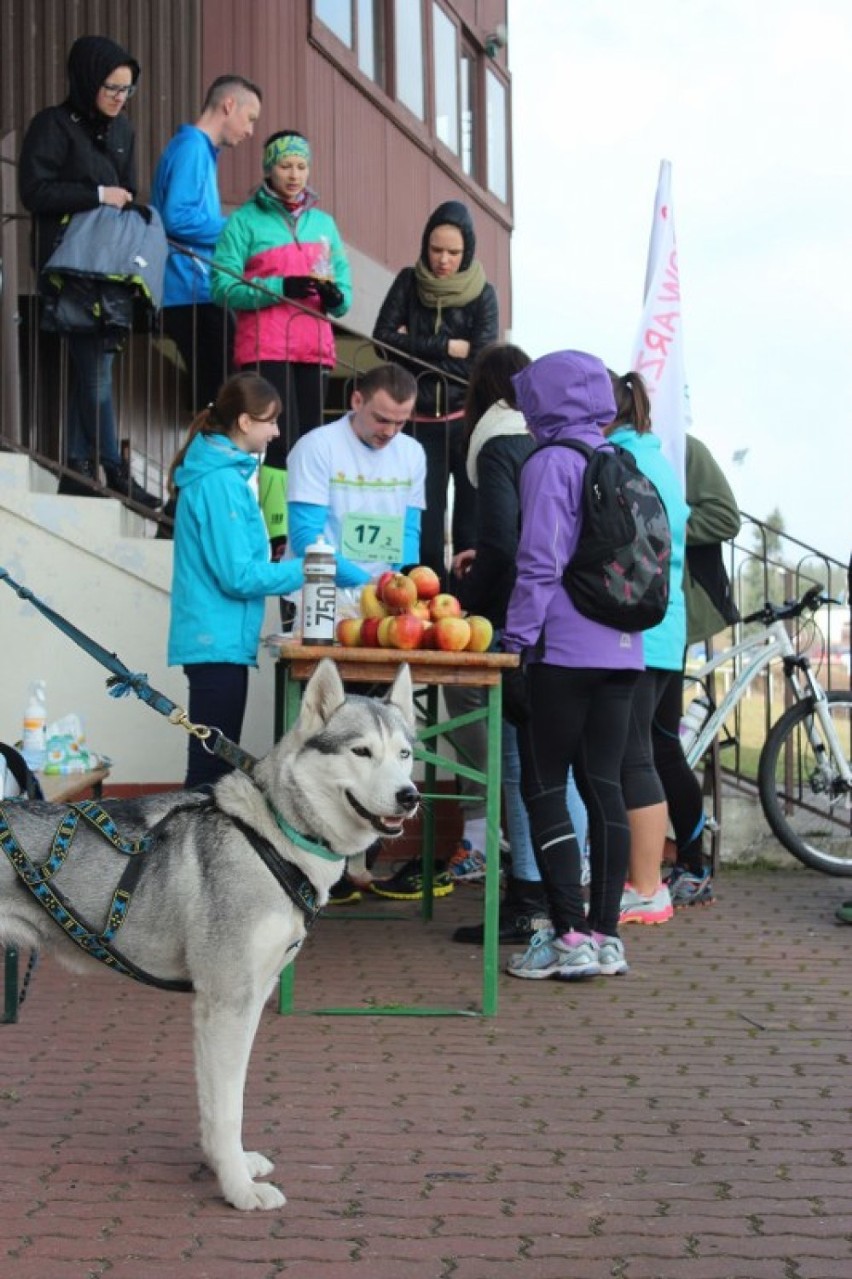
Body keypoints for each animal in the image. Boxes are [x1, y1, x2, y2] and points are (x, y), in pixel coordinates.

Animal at [0, 659, 417, 1207]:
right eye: (361, 751)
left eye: (406, 754)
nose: (410, 796)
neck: (275, 836)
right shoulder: (227, 1002)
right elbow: (228, 1108)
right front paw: (238, 1190)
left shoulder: (243, 1000)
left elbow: (219, 1102)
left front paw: (230, 1165)